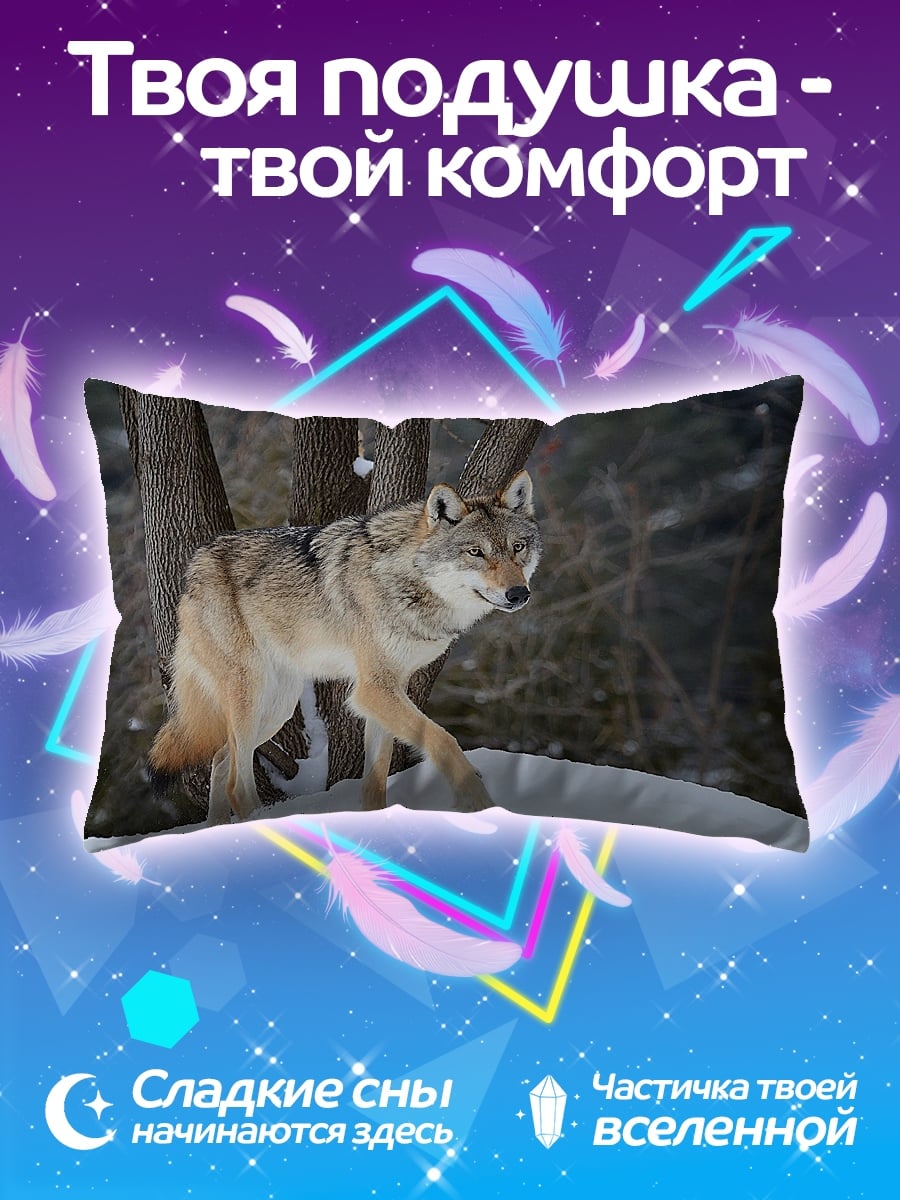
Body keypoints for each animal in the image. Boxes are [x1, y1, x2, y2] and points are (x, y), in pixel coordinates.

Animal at [148, 470, 541, 824]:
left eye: (517, 548)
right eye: (476, 552)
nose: (519, 594)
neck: (406, 580)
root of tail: (192, 571)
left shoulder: (387, 690)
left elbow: (376, 779)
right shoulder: (372, 690)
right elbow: (443, 740)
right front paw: (480, 806)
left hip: (277, 707)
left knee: (219, 758)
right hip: (251, 697)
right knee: (236, 784)